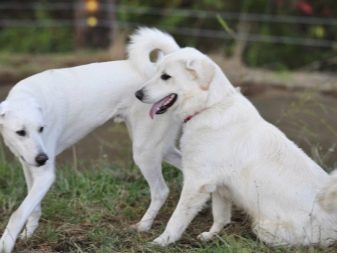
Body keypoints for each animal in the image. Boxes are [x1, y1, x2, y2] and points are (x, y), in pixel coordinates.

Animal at [0, 28, 181, 253]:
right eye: (20, 132)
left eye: (41, 129)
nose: (43, 159)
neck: (27, 96)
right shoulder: (28, 165)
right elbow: (31, 208)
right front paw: (27, 234)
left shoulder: (45, 175)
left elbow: (18, 213)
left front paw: (6, 243)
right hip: (161, 148)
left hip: (144, 152)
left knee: (161, 191)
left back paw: (143, 226)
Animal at [135, 46, 336, 246]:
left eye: (165, 76)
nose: (137, 94)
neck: (209, 106)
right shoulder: (218, 186)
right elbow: (221, 216)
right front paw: (211, 236)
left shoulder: (197, 182)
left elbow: (177, 219)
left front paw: (162, 240)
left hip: (263, 228)